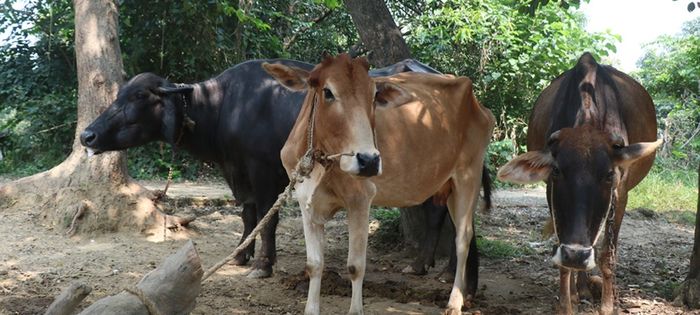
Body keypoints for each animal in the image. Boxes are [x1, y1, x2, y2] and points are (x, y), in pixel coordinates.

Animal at [80, 59, 486, 288]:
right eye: (118, 95)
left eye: (137, 97)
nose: (88, 135)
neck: (226, 105)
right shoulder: (238, 172)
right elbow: (247, 214)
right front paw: (241, 254)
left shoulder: (266, 173)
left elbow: (267, 217)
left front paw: (262, 264)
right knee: (438, 214)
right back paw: (425, 267)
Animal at [264, 55, 498, 315]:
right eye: (327, 92)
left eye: (374, 95)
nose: (369, 160)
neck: (320, 160)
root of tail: (477, 103)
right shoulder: (306, 202)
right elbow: (314, 264)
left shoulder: (360, 200)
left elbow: (355, 266)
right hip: (447, 185)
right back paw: (465, 291)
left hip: (468, 175)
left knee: (463, 238)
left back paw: (455, 301)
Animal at [498, 53, 660, 314]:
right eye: (556, 170)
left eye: (608, 174)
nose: (576, 255)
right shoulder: (551, 192)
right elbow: (562, 255)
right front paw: (566, 302)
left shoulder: (620, 193)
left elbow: (607, 255)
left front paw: (607, 305)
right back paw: (578, 291)